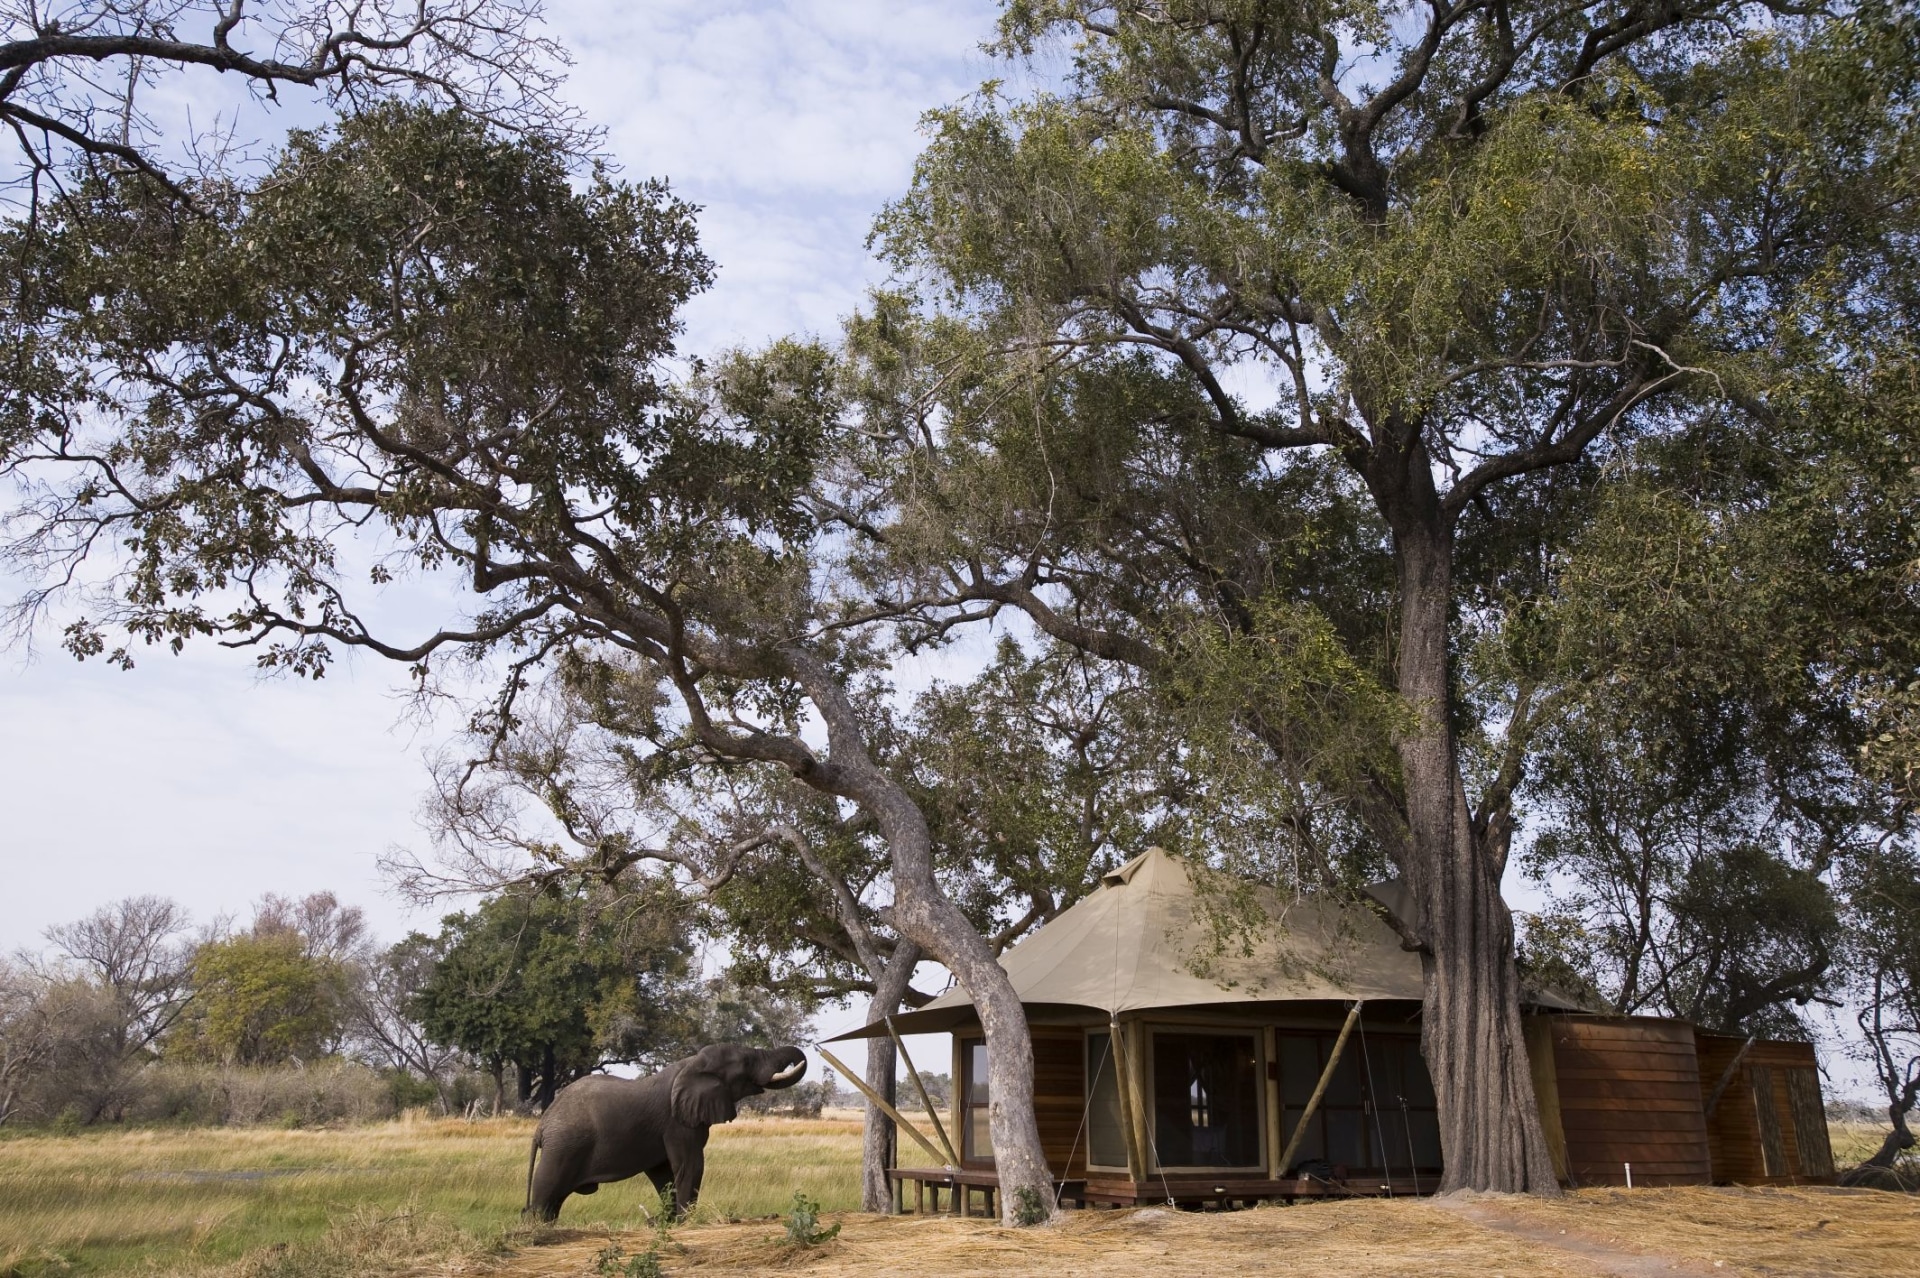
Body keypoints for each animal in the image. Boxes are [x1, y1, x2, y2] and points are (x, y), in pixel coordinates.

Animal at [522, 1043, 806, 1220]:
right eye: (747, 1061)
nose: (803, 1059)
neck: (692, 1063)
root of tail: (542, 1124)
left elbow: (663, 1173)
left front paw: (666, 1221)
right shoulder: (678, 1123)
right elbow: (690, 1165)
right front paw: (685, 1221)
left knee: (553, 1202)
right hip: (563, 1147)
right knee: (545, 1194)